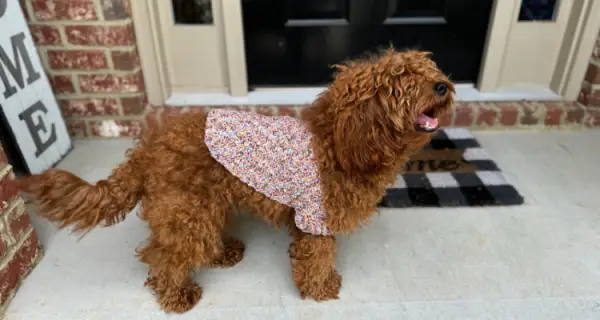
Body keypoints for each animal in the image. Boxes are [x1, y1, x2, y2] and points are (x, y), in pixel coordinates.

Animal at [11, 49, 454, 312]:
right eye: (401, 80)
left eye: (429, 69)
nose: (444, 85)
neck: (338, 140)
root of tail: (148, 147)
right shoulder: (314, 218)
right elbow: (318, 257)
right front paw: (321, 288)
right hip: (187, 209)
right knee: (163, 256)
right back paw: (176, 294)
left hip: (205, 203)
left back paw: (223, 253)